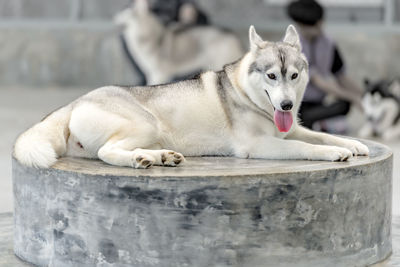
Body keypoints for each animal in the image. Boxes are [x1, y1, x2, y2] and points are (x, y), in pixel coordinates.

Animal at [14, 25, 370, 170]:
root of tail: (74, 102)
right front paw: (334, 153)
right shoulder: (259, 145)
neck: (246, 92)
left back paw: (158, 157)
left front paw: (352, 144)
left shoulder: (291, 127)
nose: (286, 105)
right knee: (107, 152)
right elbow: (306, 146)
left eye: (293, 76)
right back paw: (140, 160)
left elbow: (322, 135)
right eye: (271, 76)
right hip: (146, 123)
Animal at [114, 0, 242, 85]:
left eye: (126, 11)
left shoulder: (159, 74)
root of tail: (233, 35)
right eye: (121, 10)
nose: (115, 17)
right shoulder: (152, 74)